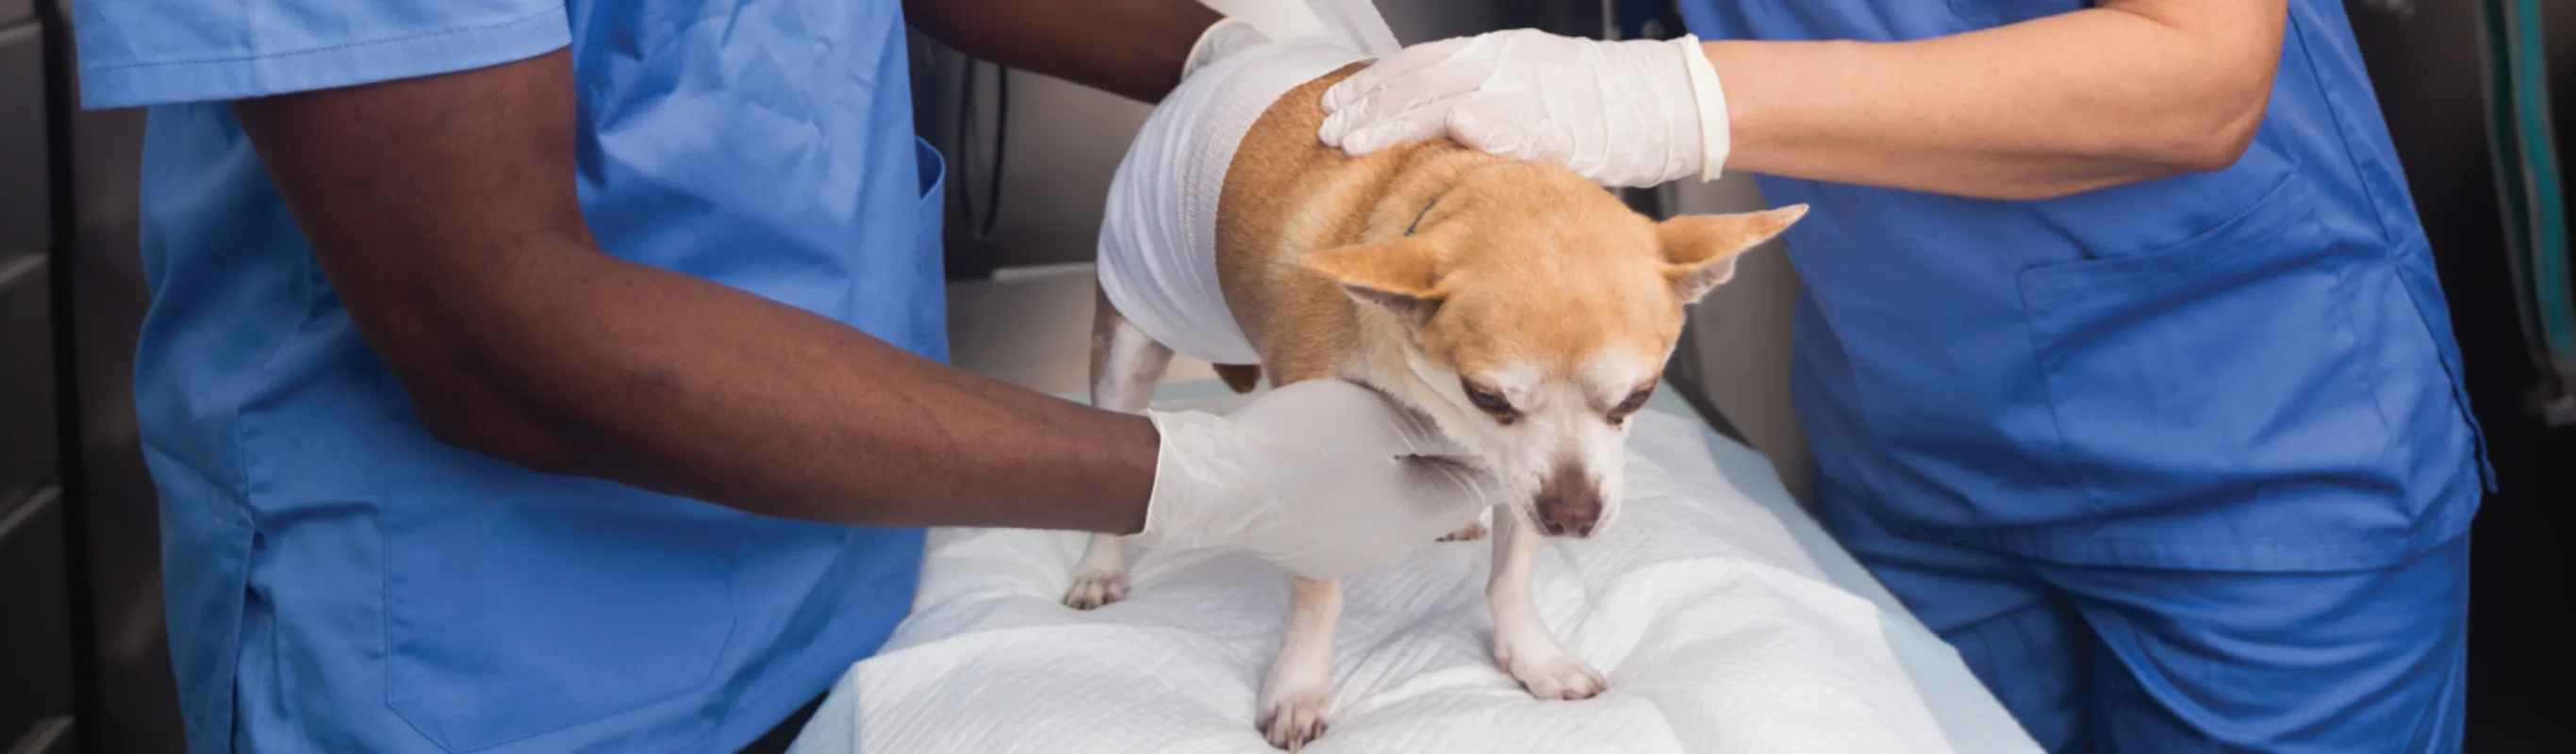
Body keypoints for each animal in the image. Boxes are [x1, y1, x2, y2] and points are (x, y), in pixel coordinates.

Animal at [1056, 62, 1803, 746]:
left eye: (1639, 396)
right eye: (1488, 396)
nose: (1571, 516)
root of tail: (1210, 69)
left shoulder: (1521, 480)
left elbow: (1510, 580)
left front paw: (1534, 658)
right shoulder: (1322, 495)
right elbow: (1317, 596)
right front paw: (1298, 687)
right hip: (1131, 330)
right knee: (1119, 426)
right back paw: (1100, 567)